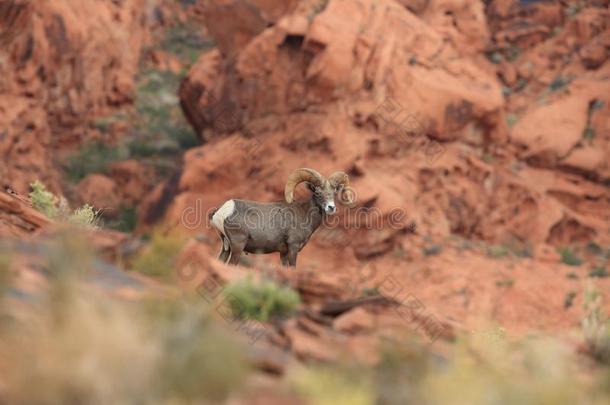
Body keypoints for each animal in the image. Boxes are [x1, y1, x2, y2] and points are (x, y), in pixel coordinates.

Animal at [210, 168, 350, 266]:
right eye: (317, 192)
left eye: (334, 193)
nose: (331, 207)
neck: (304, 214)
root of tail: (222, 211)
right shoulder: (293, 248)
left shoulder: (283, 253)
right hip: (237, 247)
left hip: (226, 247)